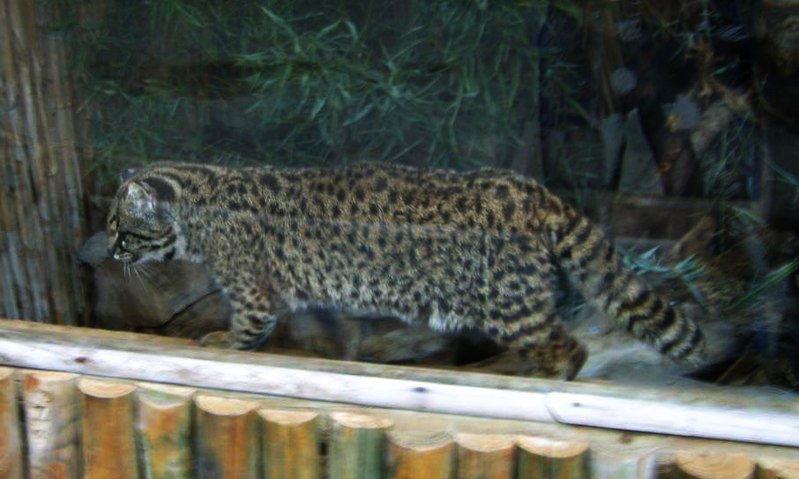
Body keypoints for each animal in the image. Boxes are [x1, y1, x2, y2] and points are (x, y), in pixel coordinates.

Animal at [106, 163, 708, 380]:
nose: (109, 252)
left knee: (567, 346)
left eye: (120, 228)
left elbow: (246, 331)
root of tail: (533, 190)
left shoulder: (253, 294)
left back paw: (542, 378)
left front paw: (219, 342)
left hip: (509, 302)